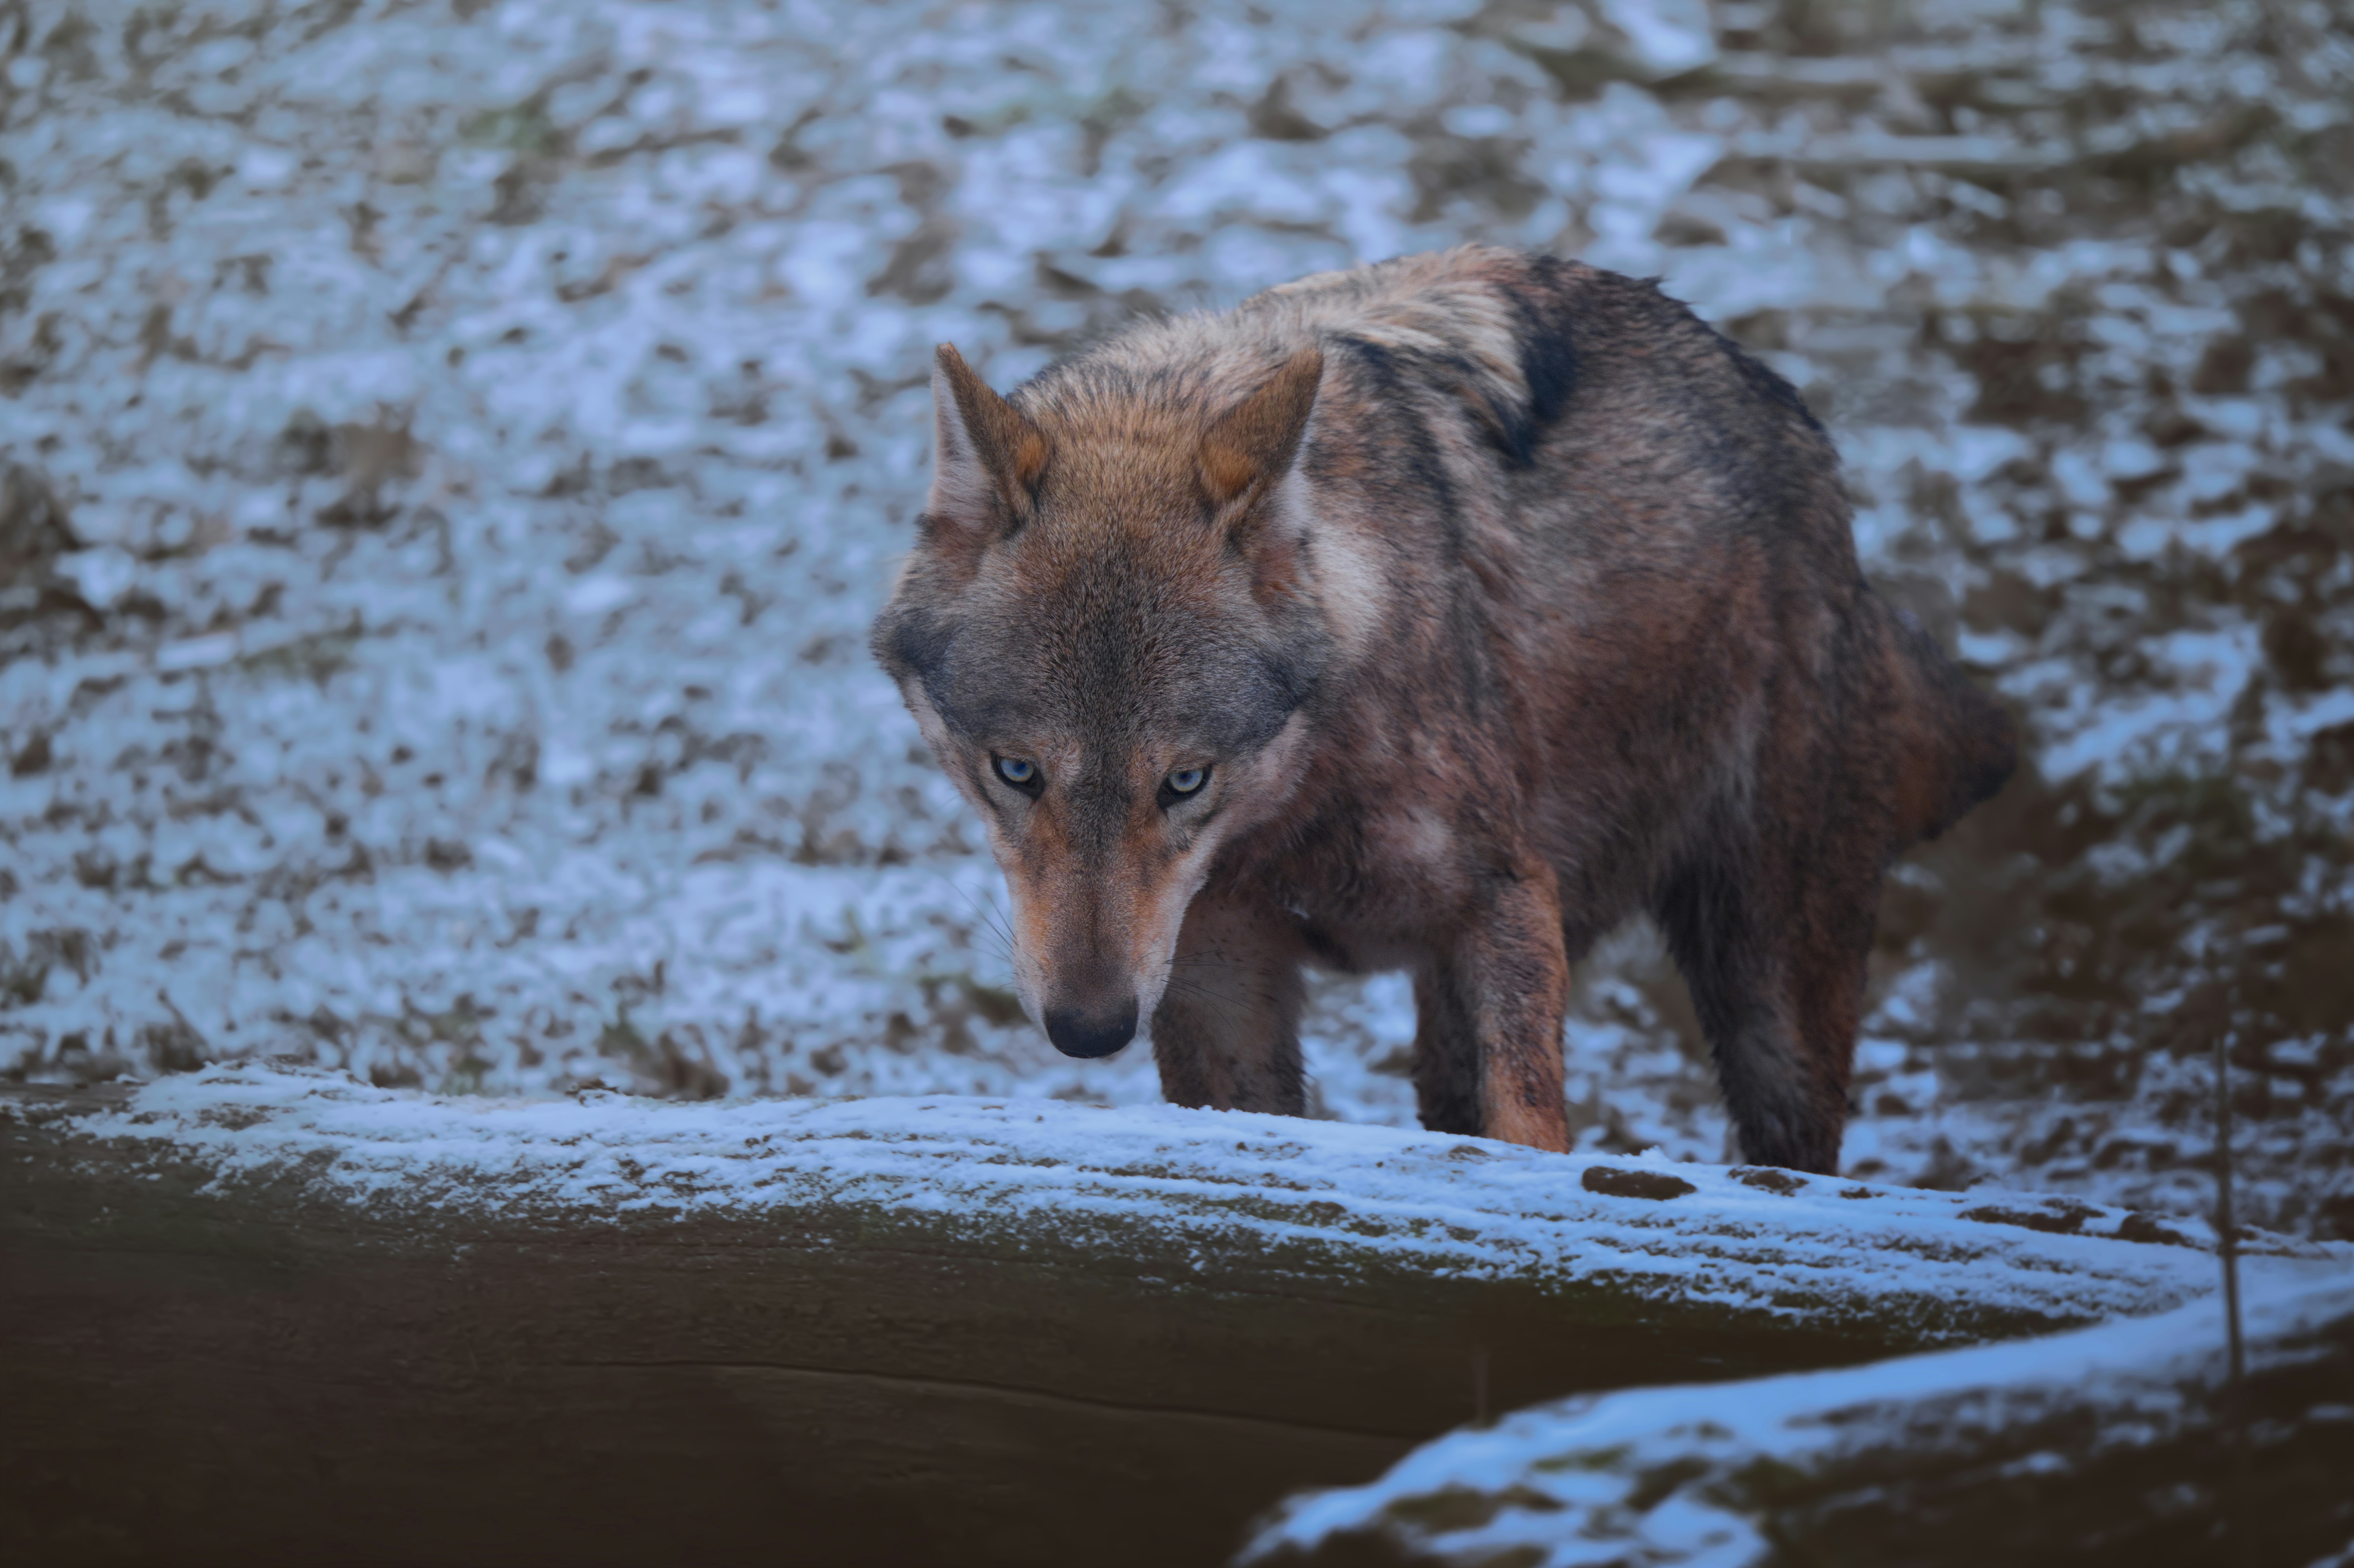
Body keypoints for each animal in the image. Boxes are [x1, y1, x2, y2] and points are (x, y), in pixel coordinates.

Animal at [870, 247, 2014, 1173]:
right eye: (1016, 772)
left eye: (1184, 781)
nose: (1091, 1029)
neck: (1297, 808)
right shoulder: (1215, 978)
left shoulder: (1504, 903)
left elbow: (1533, 1128)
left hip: (1768, 989)